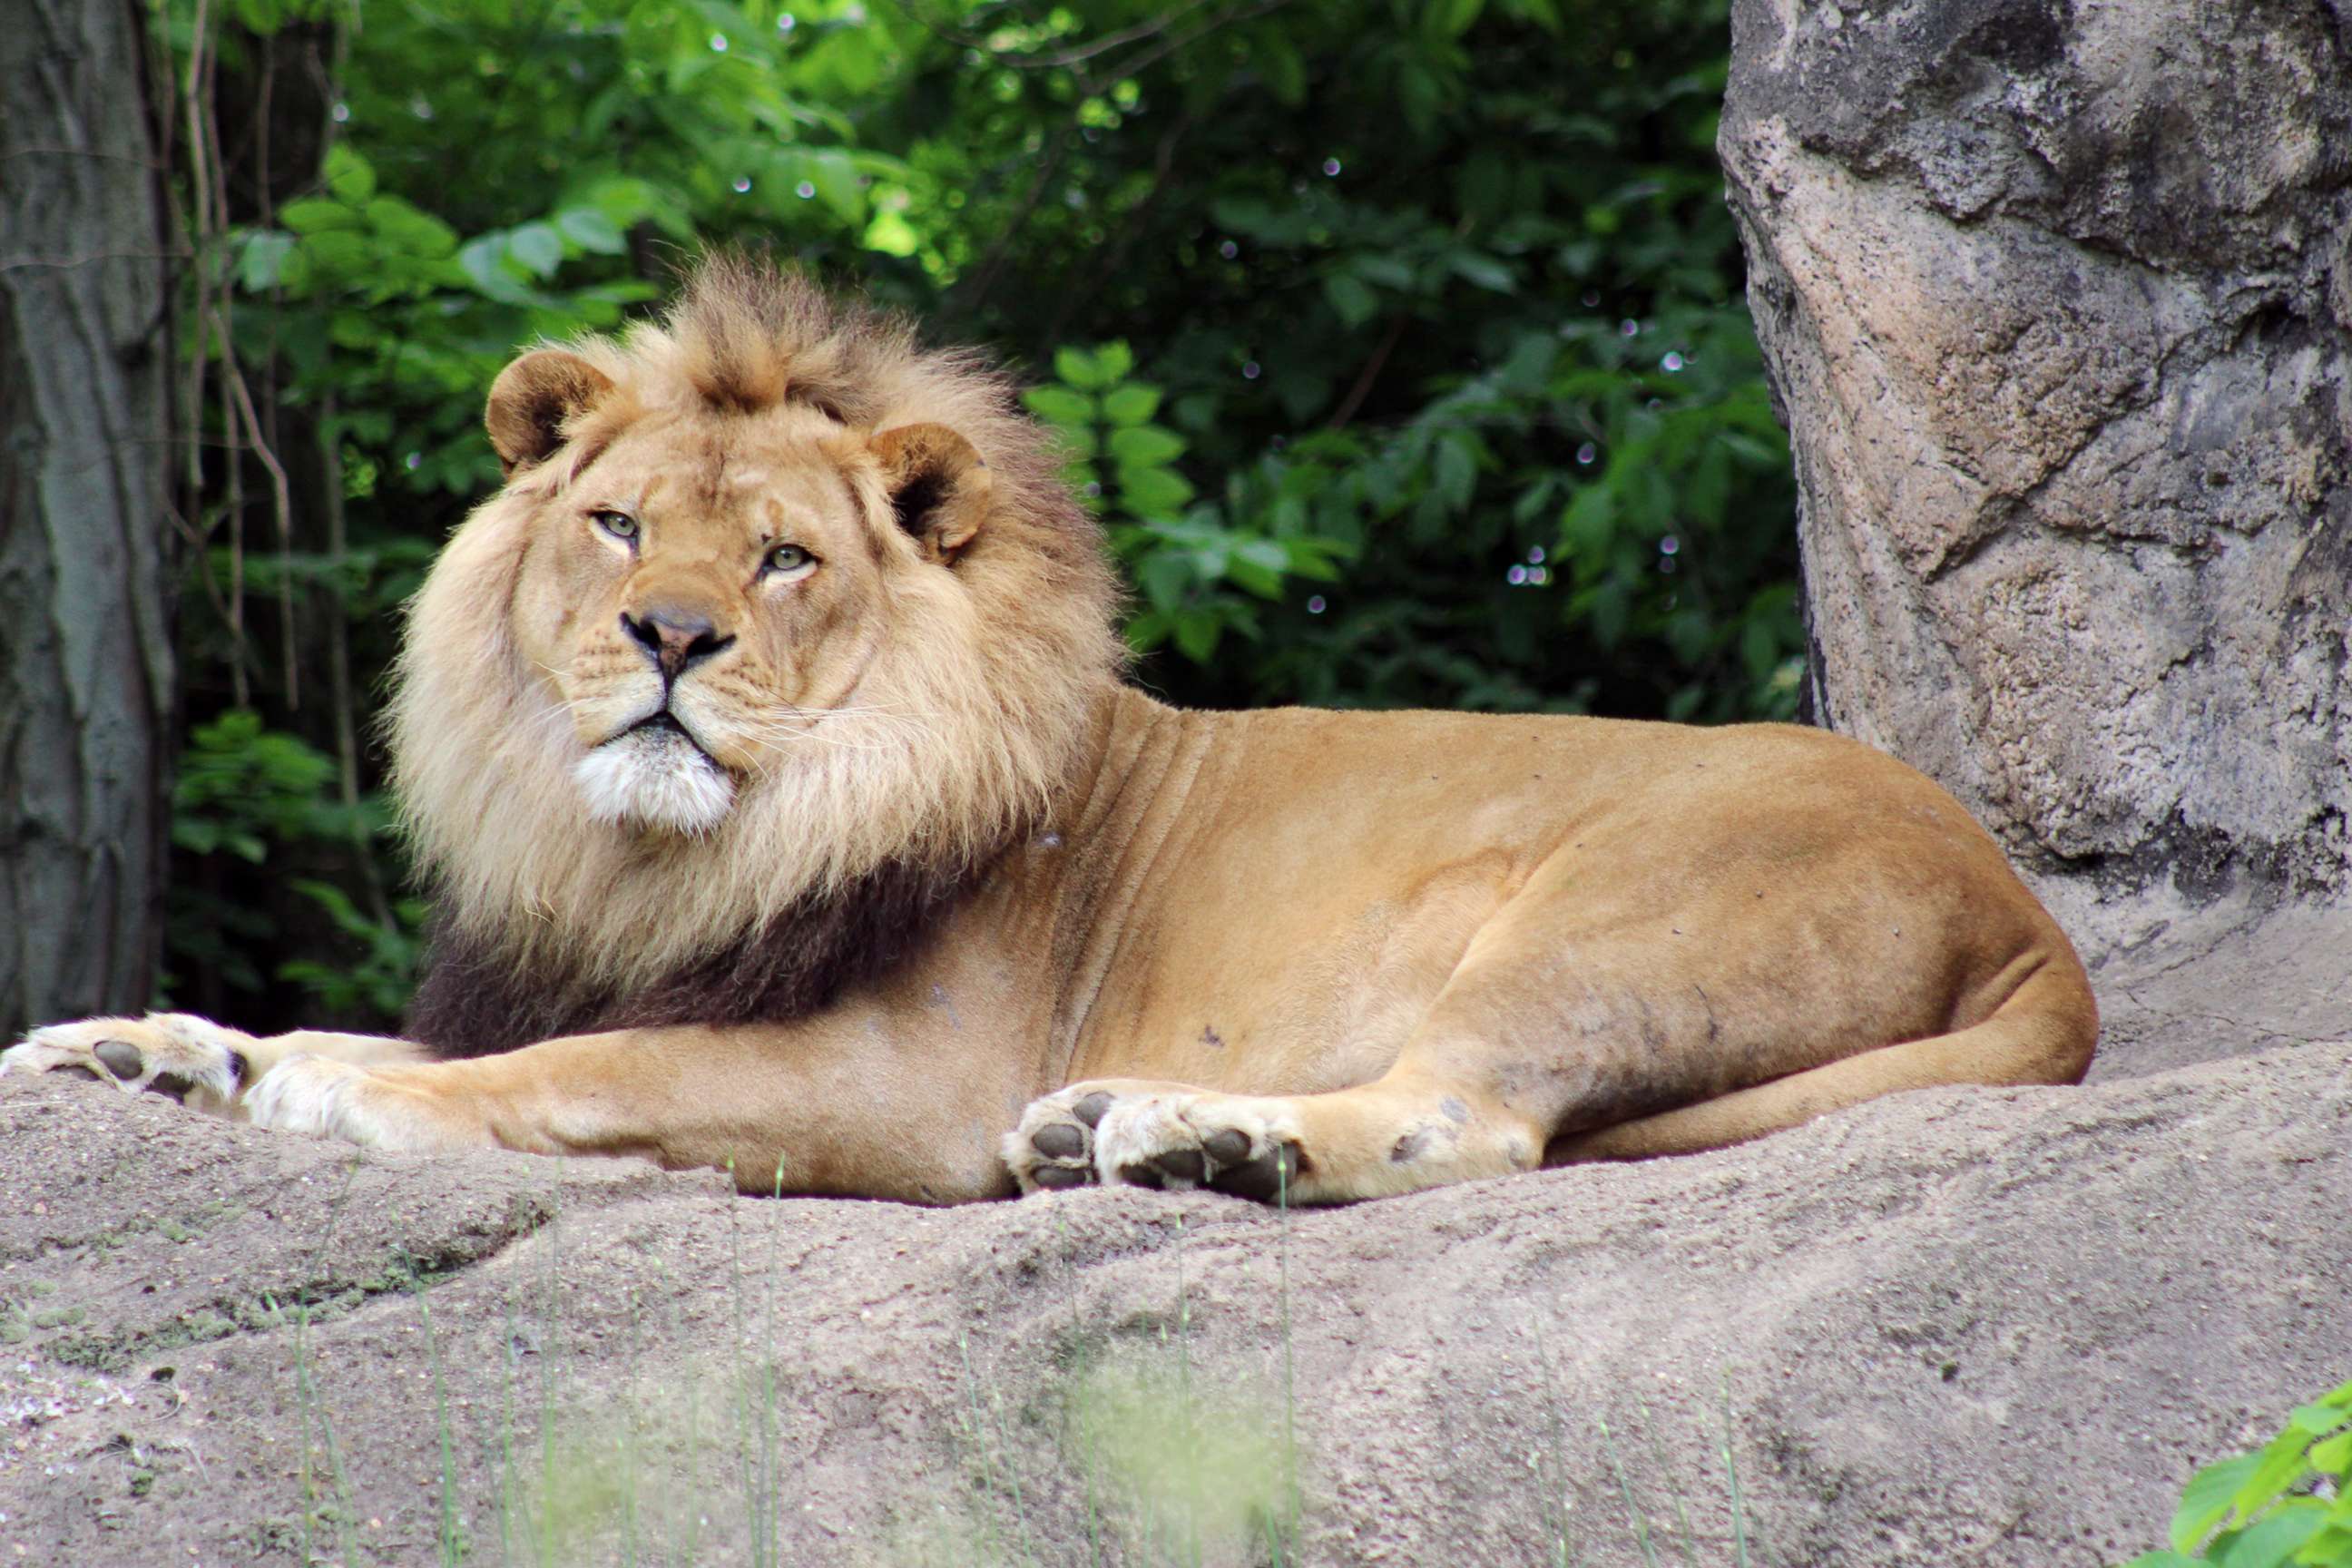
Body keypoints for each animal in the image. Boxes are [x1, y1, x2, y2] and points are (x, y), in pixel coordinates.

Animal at [0, 263, 2098, 1212]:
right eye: (613, 525)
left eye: (779, 557)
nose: (667, 637)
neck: (660, 850)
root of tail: (2026, 911)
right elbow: (400, 1030)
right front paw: (146, 1045)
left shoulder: (901, 1087)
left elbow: (554, 1073)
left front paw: (317, 1096)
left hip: (1603, 913)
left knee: (1465, 1121)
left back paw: (1199, 1136)